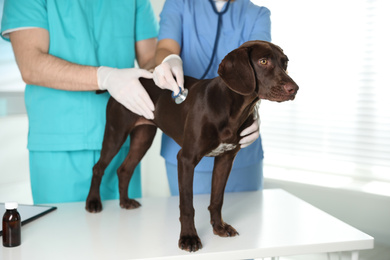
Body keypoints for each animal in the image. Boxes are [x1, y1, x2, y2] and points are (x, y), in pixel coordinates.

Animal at [84, 40, 298, 252]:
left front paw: (219, 227)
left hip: (143, 137)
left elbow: (217, 199)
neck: (231, 109)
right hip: (116, 133)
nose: (294, 88)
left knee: (124, 169)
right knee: (98, 167)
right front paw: (188, 237)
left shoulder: (225, 160)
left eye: (285, 62)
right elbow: (187, 205)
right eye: (263, 61)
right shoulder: (186, 159)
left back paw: (124, 202)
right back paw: (93, 202)